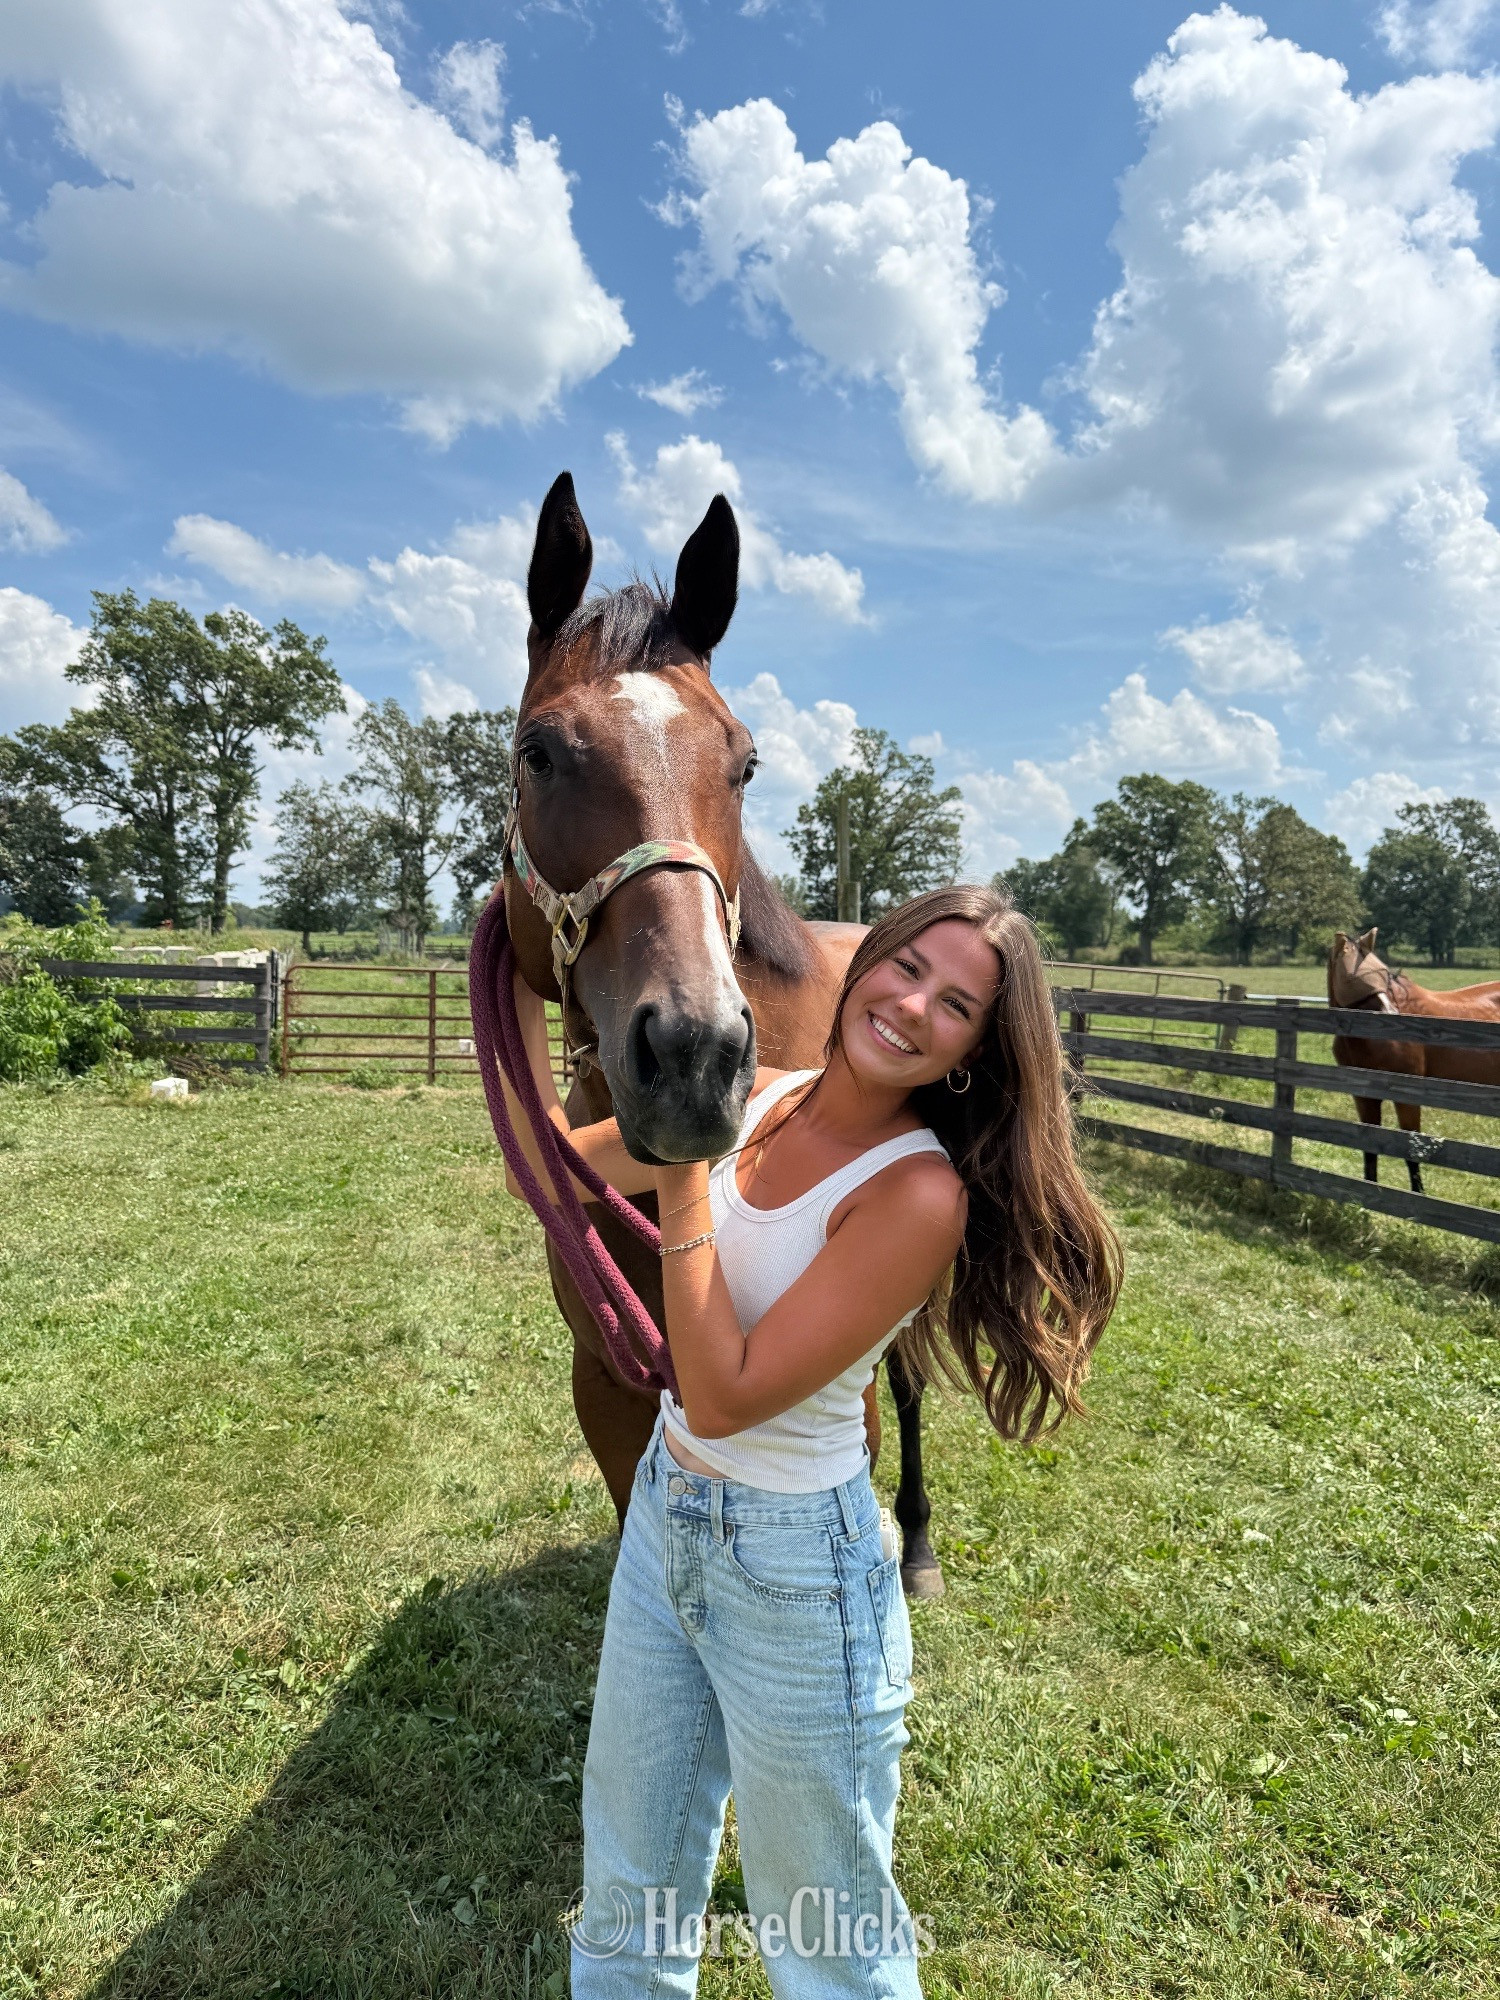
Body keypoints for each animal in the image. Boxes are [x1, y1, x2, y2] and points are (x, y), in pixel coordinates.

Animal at [498, 471, 945, 1596]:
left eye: (745, 762)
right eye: (538, 752)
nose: (695, 1055)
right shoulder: (612, 1384)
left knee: (916, 1385)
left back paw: (918, 1544)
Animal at [1327, 927, 1500, 1192]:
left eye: (1384, 976)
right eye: (1351, 977)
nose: (1391, 1016)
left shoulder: (1407, 1097)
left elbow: (1410, 1150)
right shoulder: (1364, 1097)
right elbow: (1369, 1148)